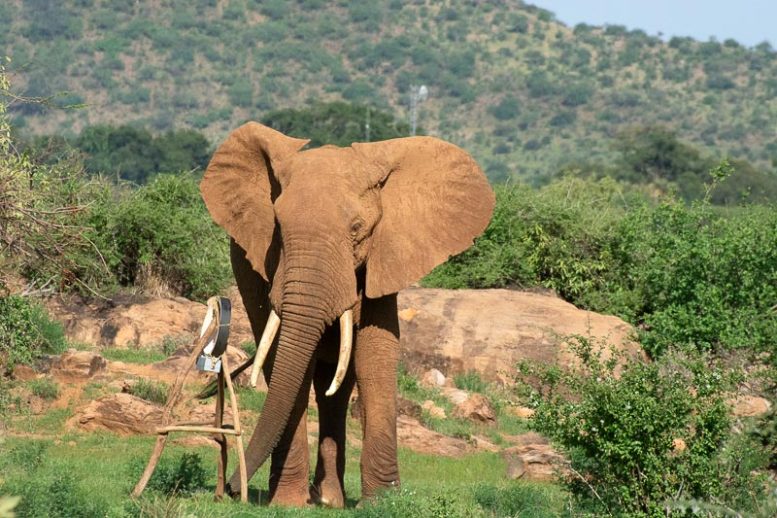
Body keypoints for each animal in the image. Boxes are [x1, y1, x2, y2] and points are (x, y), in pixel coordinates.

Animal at [199, 121, 494, 507]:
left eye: (356, 229)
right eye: (278, 228)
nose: (229, 490)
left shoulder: (387, 254)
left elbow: (375, 355)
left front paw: (383, 502)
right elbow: (287, 361)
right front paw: (288, 504)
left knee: (336, 386)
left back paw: (328, 499)